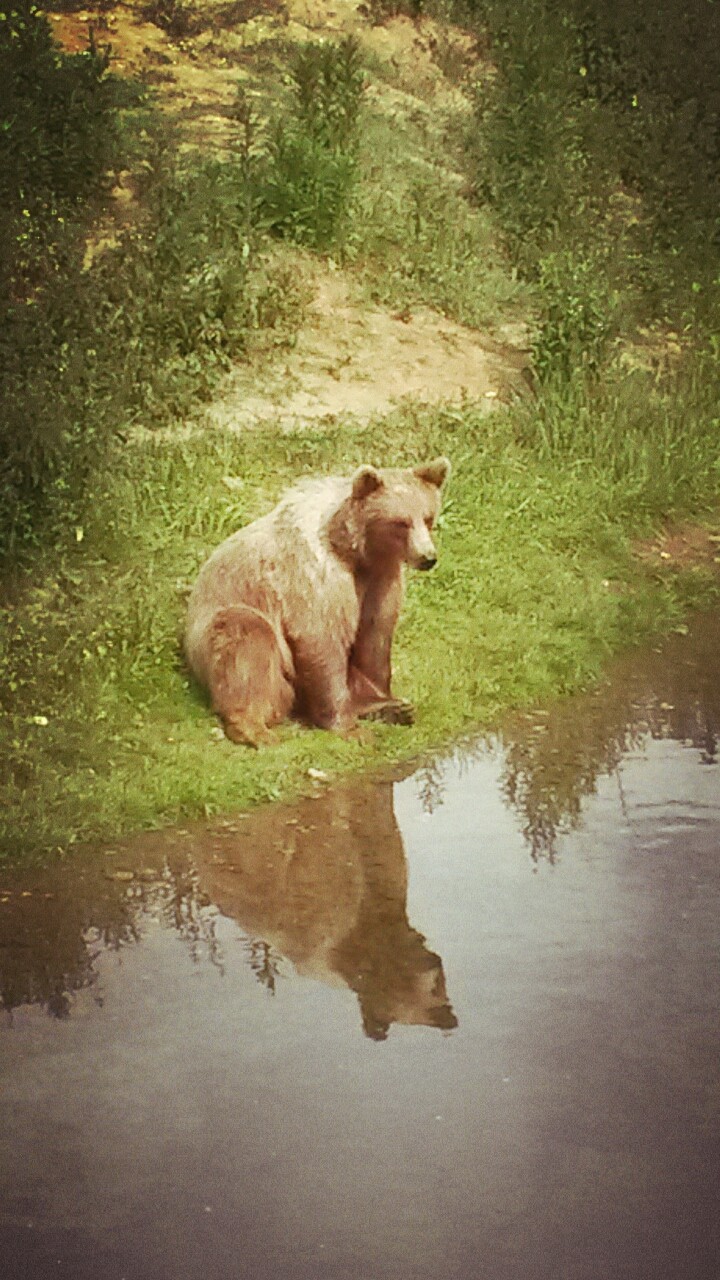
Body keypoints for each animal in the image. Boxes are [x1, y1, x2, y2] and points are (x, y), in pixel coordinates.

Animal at [184, 456, 450, 746]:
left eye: (428, 517)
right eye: (401, 522)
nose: (428, 557)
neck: (355, 551)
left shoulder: (380, 579)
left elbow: (374, 635)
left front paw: (382, 701)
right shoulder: (315, 575)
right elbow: (320, 638)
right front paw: (349, 727)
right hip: (222, 629)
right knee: (246, 640)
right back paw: (254, 728)